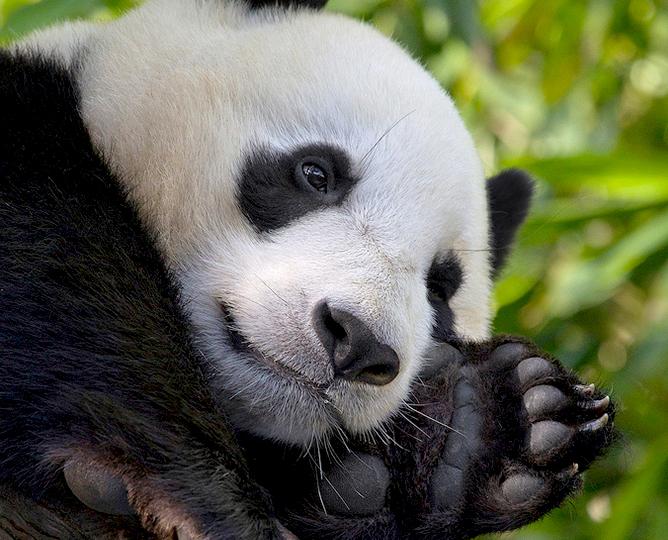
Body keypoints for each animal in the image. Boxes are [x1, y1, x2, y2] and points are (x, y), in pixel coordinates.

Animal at [1, 0, 616, 536]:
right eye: (316, 173)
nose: (358, 343)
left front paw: (479, 430)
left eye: (439, 291)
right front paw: (202, 494)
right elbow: (60, 270)